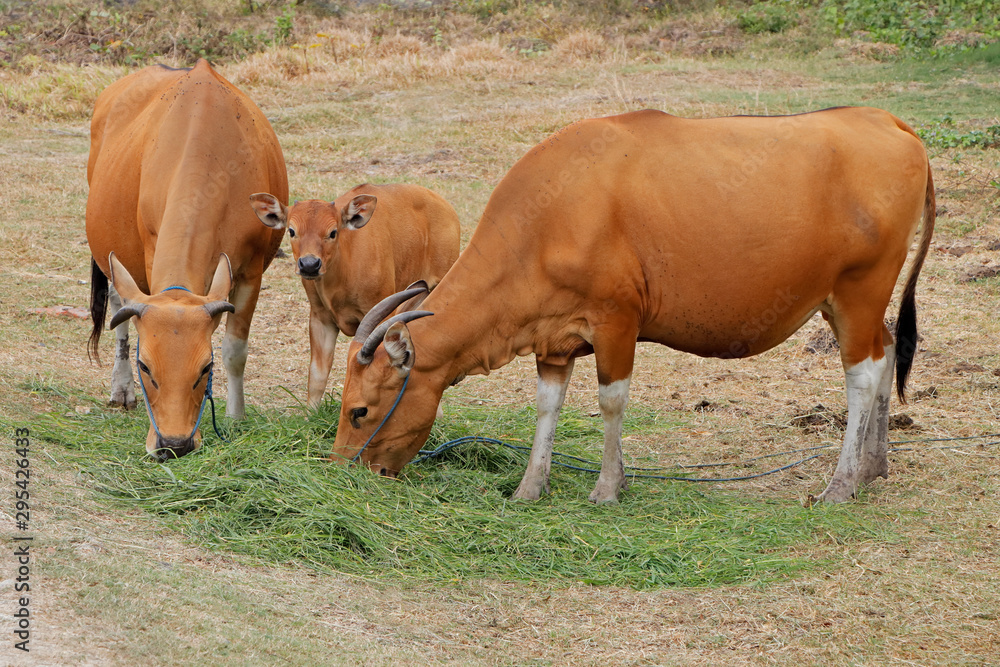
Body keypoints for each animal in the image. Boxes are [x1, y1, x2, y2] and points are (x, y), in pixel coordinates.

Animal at [85, 60, 290, 462]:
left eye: (205, 367)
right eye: (145, 365)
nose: (173, 444)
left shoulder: (251, 272)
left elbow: (235, 350)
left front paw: (236, 417)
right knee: (118, 306)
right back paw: (121, 389)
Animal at [248, 185, 458, 410]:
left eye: (333, 232)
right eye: (292, 231)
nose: (310, 265)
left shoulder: (382, 311)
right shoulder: (320, 318)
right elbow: (317, 373)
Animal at [330, 108, 936, 506]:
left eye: (359, 410)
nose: (342, 470)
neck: (550, 216)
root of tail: (888, 121)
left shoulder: (617, 322)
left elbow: (611, 403)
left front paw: (607, 486)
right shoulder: (555, 339)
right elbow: (547, 407)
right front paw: (530, 486)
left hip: (859, 290)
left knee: (864, 374)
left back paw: (841, 483)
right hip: (842, 300)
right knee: (886, 352)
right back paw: (874, 467)